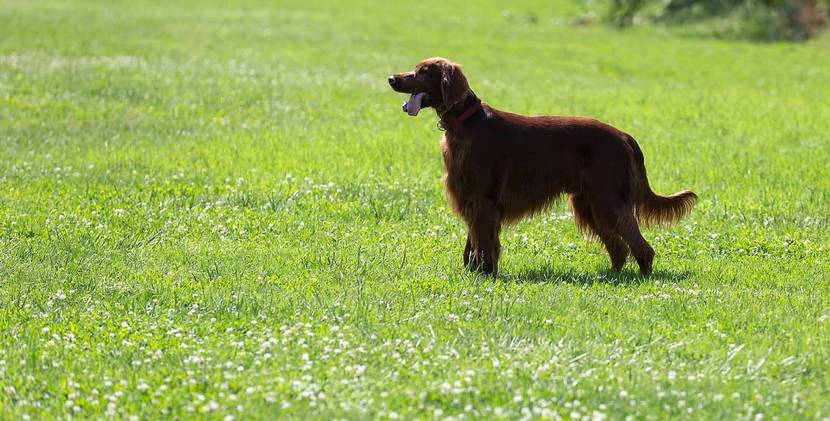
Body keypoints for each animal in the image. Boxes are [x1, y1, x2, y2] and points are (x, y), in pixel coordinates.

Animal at [388, 58, 696, 276]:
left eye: (422, 72)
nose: (392, 78)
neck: (466, 122)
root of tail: (623, 136)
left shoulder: (483, 200)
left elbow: (485, 244)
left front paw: (486, 275)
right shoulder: (471, 200)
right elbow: (473, 243)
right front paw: (473, 272)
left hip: (608, 201)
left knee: (640, 246)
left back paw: (642, 276)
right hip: (589, 204)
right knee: (618, 247)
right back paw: (611, 276)